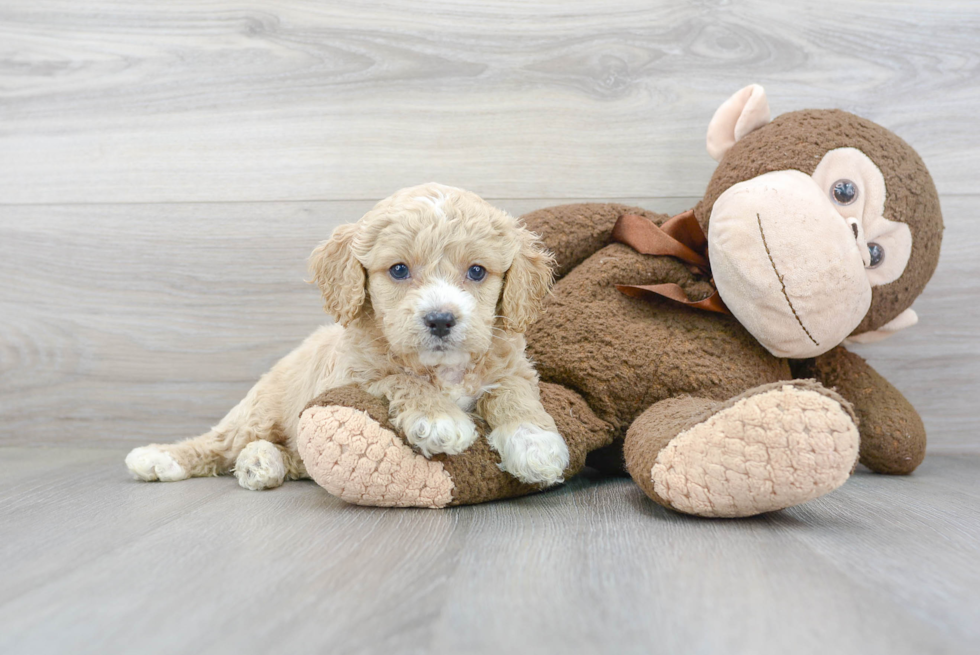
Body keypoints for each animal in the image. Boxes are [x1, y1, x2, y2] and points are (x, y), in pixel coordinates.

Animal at [123, 184, 572, 492]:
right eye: (398, 270)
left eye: (477, 271)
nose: (441, 320)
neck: (442, 369)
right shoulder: (354, 376)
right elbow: (398, 377)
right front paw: (438, 418)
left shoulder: (512, 366)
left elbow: (513, 393)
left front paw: (536, 444)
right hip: (259, 411)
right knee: (219, 443)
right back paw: (161, 458)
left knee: (292, 458)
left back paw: (261, 463)